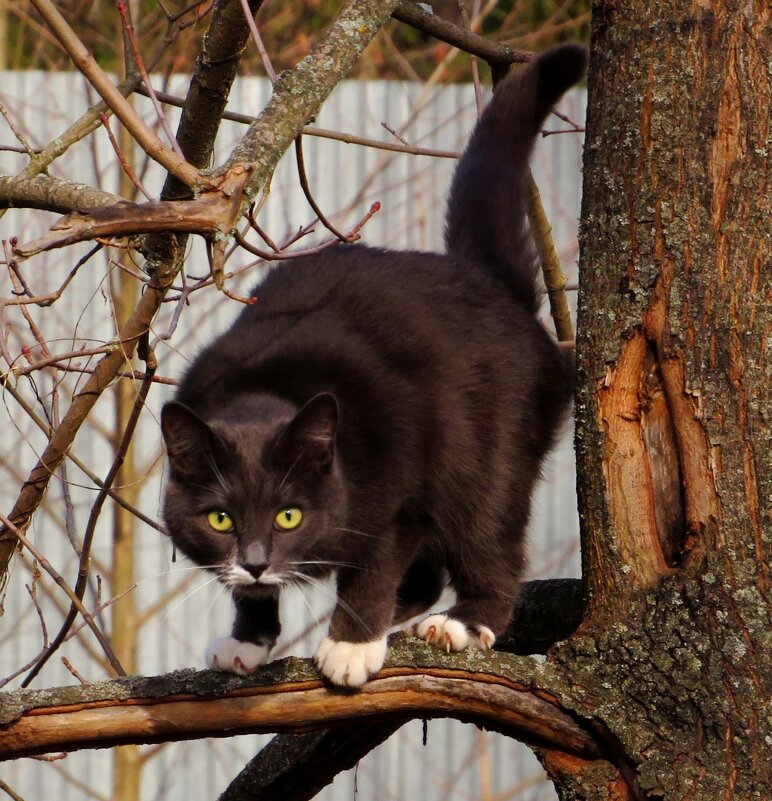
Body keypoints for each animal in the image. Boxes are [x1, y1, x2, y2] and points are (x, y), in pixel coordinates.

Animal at [161, 45, 584, 688]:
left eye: (289, 516)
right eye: (220, 520)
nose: (256, 563)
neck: (268, 386)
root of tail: (490, 284)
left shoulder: (400, 478)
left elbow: (379, 560)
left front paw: (350, 644)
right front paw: (248, 638)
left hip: (490, 443)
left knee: (489, 534)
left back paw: (461, 623)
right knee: (430, 573)